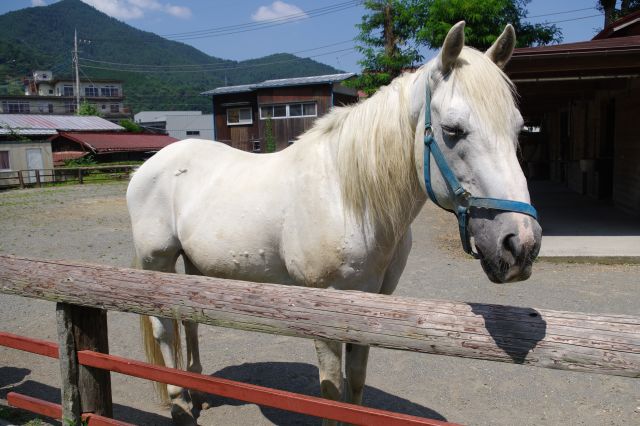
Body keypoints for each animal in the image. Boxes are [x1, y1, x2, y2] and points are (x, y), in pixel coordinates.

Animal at [129, 22, 540, 422]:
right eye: (453, 130)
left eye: (518, 128)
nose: (521, 244)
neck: (348, 198)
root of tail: (149, 165)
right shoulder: (323, 310)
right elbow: (330, 392)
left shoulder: (368, 305)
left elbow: (354, 383)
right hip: (157, 262)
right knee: (164, 328)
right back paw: (180, 404)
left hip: (195, 265)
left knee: (187, 319)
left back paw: (198, 392)